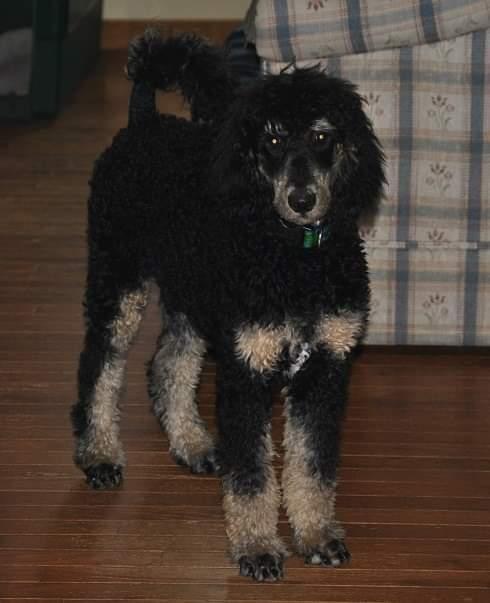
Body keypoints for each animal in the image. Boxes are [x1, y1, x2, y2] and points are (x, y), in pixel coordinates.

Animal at [72, 30, 385, 581]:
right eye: (274, 140)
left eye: (322, 136)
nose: (301, 199)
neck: (294, 260)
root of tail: (144, 122)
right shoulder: (246, 372)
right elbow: (252, 476)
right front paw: (257, 547)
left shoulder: (324, 371)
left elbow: (312, 466)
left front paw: (316, 535)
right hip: (118, 284)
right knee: (99, 368)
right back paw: (100, 453)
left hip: (191, 297)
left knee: (168, 366)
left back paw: (192, 444)